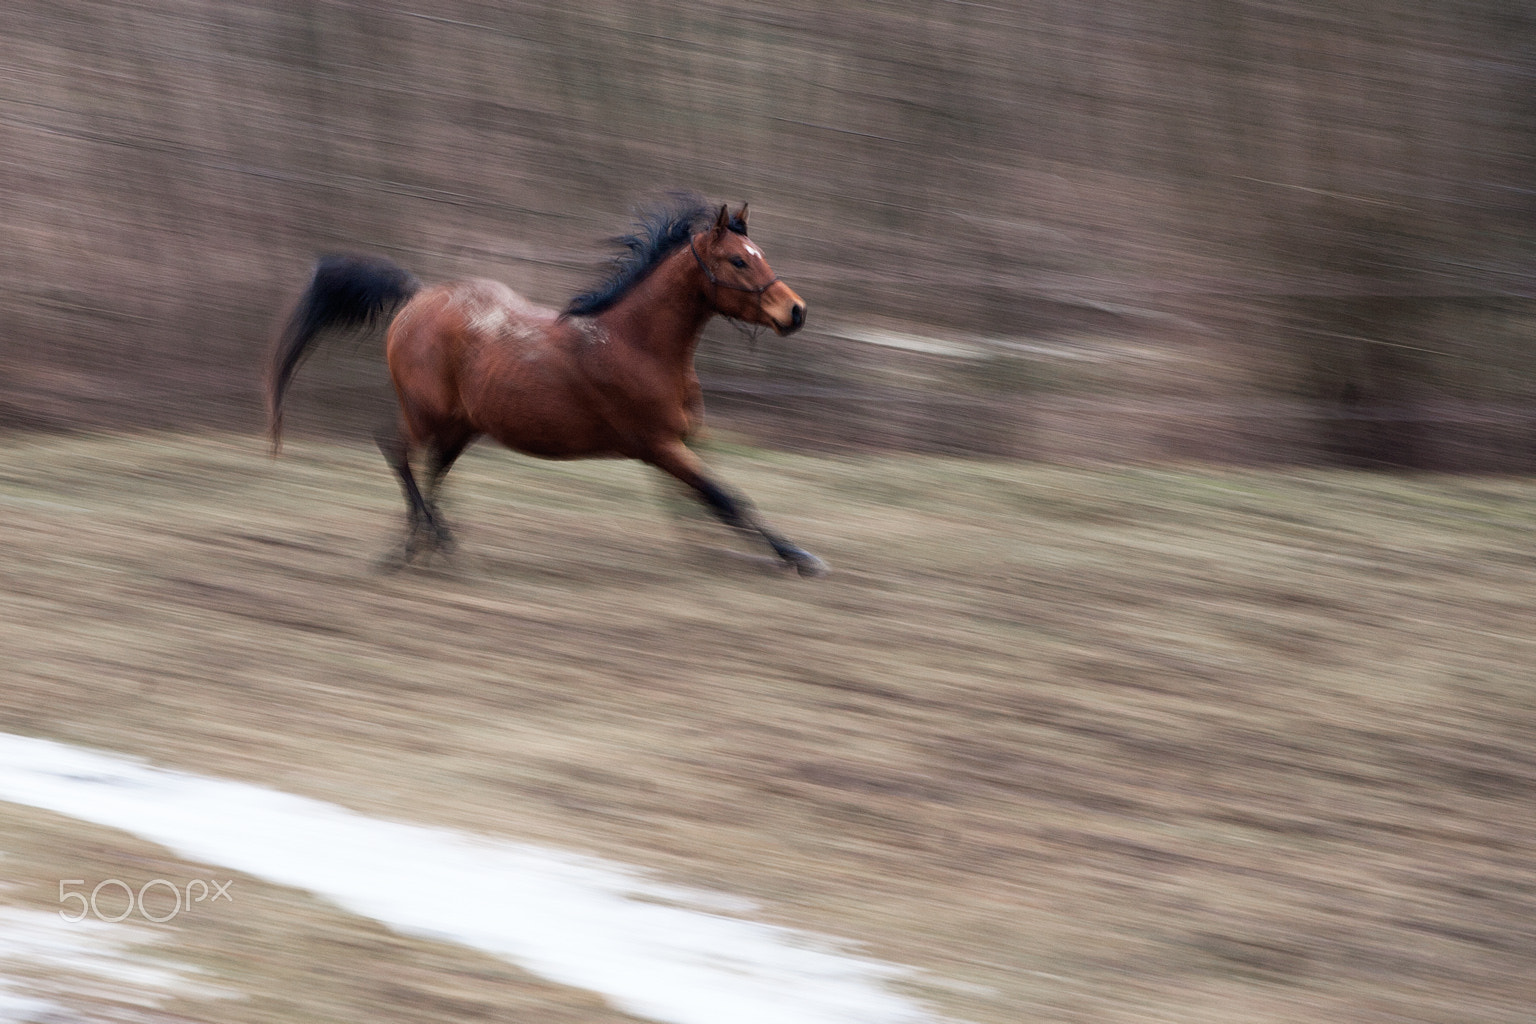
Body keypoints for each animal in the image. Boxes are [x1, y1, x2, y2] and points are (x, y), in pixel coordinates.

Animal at [270, 194, 835, 577]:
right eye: (739, 260)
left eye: (760, 253)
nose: (796, 311)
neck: (636, 343)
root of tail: (418, 296)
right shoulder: (656, 444)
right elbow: (727, 498)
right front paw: (800, 557)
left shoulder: (685, 439)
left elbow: (706, 500)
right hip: (426, 412)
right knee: (396, 451)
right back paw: (424, 543)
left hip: (462, 424)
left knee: (431, 468)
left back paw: (428, 542)